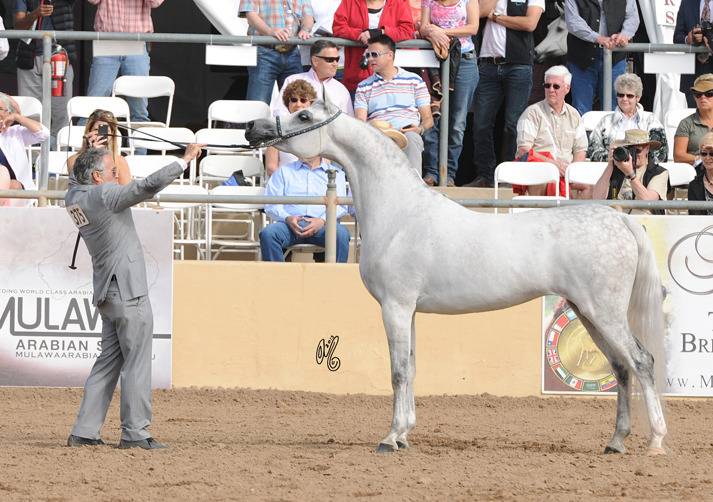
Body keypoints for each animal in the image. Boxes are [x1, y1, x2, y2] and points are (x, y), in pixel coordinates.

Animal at [245, 94, 668, 456]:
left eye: (303, 116)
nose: (253, 128)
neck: (399, 211)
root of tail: (619, 220)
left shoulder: (395, 307)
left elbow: (398, 371)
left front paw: (389, 438)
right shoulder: (409, 311)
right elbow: (412, 367)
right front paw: (404, 435)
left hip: (604, 312)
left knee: (641, 362)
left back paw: (656, 442)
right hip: (587, 311)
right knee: (621, 368)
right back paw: (616, 441)